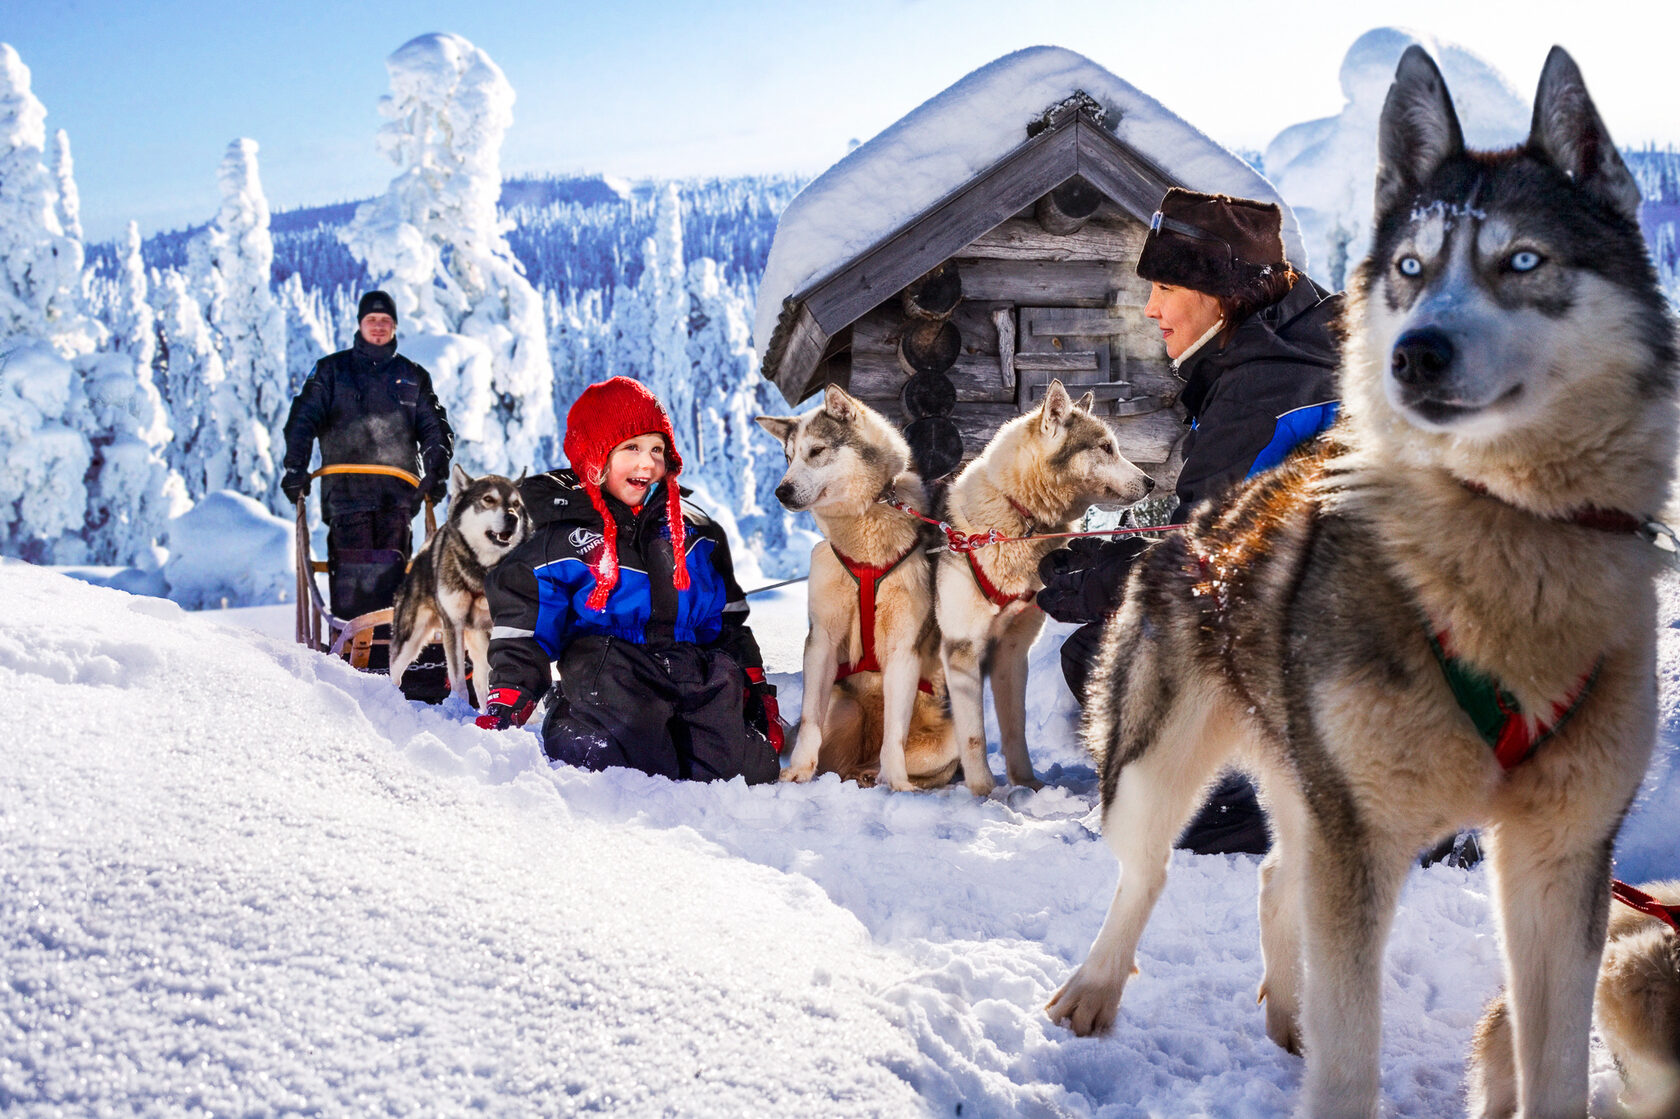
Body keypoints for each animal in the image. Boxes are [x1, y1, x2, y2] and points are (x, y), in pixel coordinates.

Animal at [389, 460, 527, 705]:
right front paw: (460, 707)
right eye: (488, 499)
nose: (513, 517)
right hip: (409, 638)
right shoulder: (453, 625)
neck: (480, 571)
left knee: (482, 681)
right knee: (395, 671)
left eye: (516, 504)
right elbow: (458, 682)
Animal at [752, 388, 954, 789]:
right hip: (842, 704)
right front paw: (798, 772)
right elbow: (811, 721)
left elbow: (895, 735)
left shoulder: (903, 648)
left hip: (949, 739)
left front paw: (898, 785)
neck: (864, 548)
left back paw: (879, 776)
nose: (781, 491)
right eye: (788, 457)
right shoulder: (822, 641)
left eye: (816, 451)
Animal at [934, 381, 1155, 793]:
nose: (1152, 483)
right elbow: (973, 736)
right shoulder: (962, 651)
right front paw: (984, 794)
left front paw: (1026, 784)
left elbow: (1014, 726)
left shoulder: (1012, 653)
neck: (1018, 517)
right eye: (1105, 447)